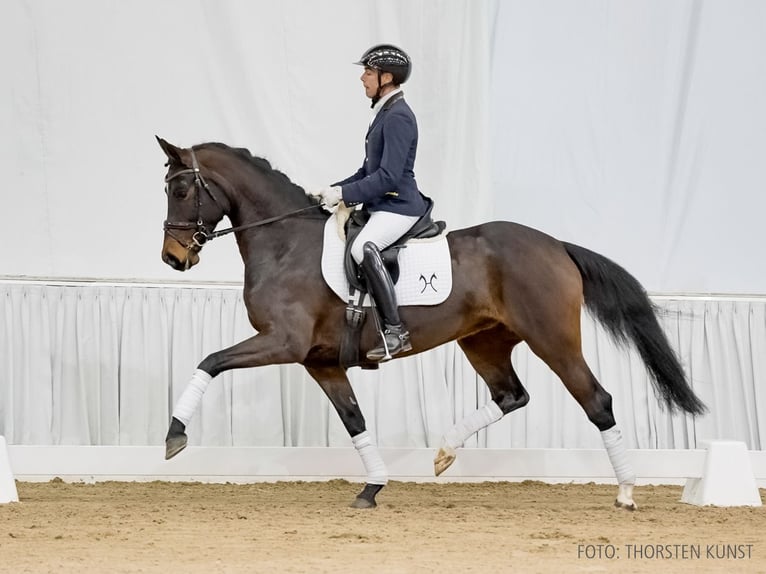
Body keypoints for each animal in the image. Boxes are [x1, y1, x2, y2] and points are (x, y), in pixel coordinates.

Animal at [156, 136, 708, 512]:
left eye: (181, 189)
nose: (172, 258)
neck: (285, 243)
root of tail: (555, 245)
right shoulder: (321, 363)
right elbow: (355, 421)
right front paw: (372, 488)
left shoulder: (282, 343)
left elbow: (209, 361)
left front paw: (174, 436)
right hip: (483, 342)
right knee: (512, 396)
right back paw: (444, 452)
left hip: (553, 340)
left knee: (597, 401)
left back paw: (626, 493)